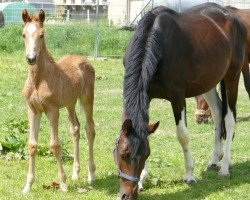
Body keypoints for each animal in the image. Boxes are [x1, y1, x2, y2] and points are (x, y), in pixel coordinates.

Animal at [21, 9, 96, 194]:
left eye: (41, 35)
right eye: (23, 34)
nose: (31, 58)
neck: (38, 81)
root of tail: (84, 59)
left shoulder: (52, 110)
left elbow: (55, 145)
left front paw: (63, 184)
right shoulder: (33, 110)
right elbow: (32, 145)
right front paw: (27, 186)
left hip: (86, 99)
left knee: (89, 129)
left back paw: (91, 175)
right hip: (70, 104)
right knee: (75, 129)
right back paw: (76, 173)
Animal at [114, 3, 247, 200]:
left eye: (145, 155)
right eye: (123, 154)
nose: (127, 195)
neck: (155, 43)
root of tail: (232, 15)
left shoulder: (177, 97)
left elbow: (183, 135)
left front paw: (190, 175)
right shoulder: (147, 96)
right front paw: (142, 180)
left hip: (232, 75)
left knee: (230, 120)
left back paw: (224, 168)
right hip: (209, 81)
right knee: (217, 113)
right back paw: (214, 160)